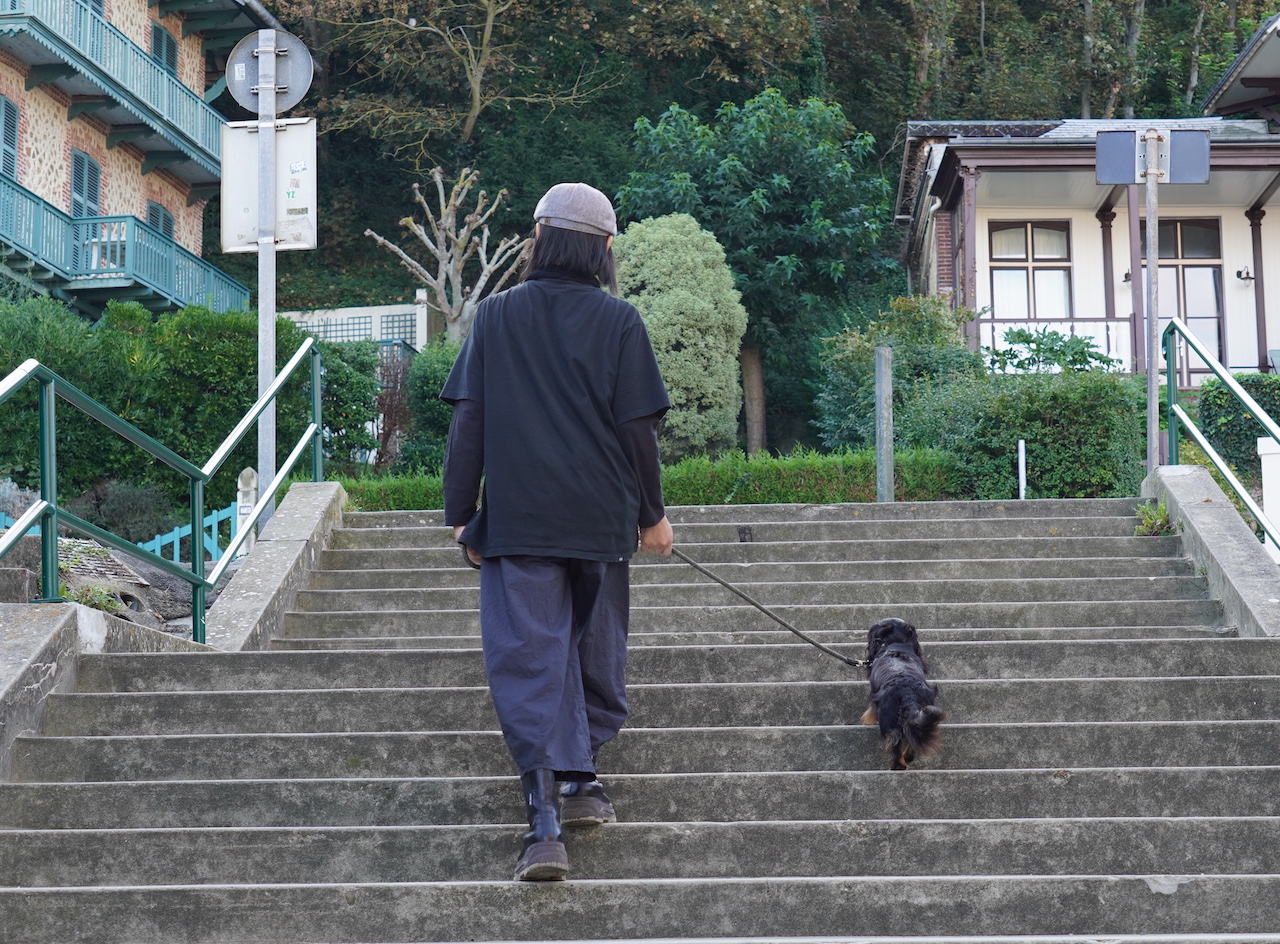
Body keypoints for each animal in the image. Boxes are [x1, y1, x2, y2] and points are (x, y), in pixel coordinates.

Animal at [860, 619, 942, 767]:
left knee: (896, 748)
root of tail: (906, 690)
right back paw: (907, 758)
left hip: (889, 724)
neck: (896, 643)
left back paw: (897, 766)